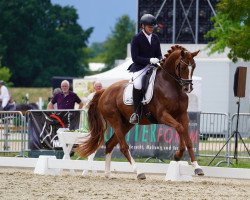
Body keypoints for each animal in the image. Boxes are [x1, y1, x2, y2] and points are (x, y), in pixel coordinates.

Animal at [77, 45, 203, 178]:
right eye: (183, 67)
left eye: (194, 66)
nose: (188, 88)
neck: (171, 86)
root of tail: (104, 91)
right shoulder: (162, 116)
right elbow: (179, 128)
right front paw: (178, 155)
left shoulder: (183, 115)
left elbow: (187, 138)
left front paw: (197, 167)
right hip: (115, 120)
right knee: (123, 147)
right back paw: (138, 172)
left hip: (127, 123)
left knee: (110, 144)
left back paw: (107, 174)